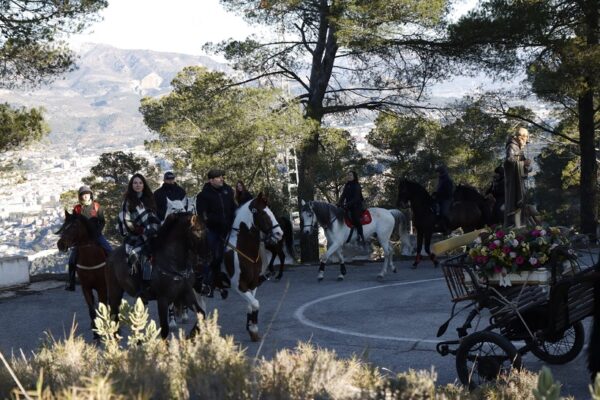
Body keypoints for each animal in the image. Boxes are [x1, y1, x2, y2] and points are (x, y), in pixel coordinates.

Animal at [55, 211, 107, 340]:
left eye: (73, 226)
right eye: (64, 226)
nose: (60, 244)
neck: (90, 258)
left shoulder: (102, 287)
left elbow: (103, 307)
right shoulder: (86, 288)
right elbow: (91, 310)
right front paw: (96, 332)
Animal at [223, 193, 284, 340]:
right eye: (262, 213)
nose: (279, 234)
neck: (244, 250)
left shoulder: (253, 283)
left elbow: (251, 305)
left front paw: (252, 327)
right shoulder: (238, 286)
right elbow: (255, 303)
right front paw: (253, 328)